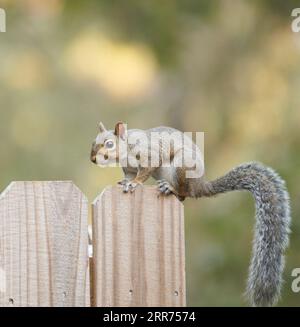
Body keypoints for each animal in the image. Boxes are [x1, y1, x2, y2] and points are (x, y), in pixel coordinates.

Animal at [91, 121, 290, 308]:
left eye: (109, 144)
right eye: (93, 142)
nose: (92, 159)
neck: (126, 150)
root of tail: (199, 185)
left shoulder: (149, 154)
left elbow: (145, 170)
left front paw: (135, 183)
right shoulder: (129, 169)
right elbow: (128, 176)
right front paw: (124, 182)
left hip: (180, 167)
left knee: (182, 193)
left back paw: (170, 188)